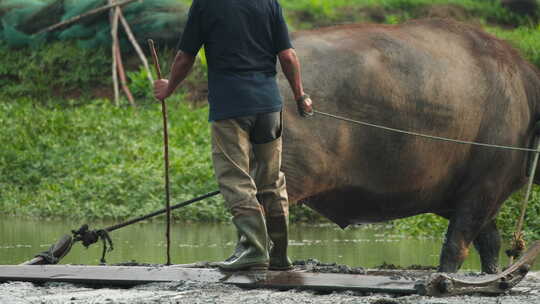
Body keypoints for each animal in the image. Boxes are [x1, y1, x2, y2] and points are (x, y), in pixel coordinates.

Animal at [278, 18, 540, 274]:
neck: (528, 98)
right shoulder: (486, 187)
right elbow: (457, 246)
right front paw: (444, 277)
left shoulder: (459, 196)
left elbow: (490, 243)